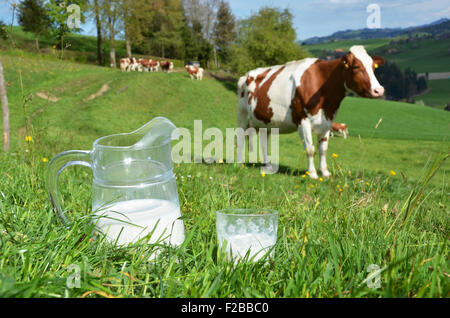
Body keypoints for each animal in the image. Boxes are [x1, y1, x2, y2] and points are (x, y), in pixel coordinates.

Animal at [237, 45, 384, 179]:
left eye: (373, 67)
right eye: (356, 67)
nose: (379, 90)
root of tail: (245, 75)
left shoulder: (327, 121)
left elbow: (323, 149)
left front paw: (325, 172)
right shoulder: (303, 120)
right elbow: (310, 149)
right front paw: (312, 173)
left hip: (265, 121)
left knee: (263, 142)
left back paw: (267, 165)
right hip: (242, 115)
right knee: (240, 137)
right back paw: (240, 164)